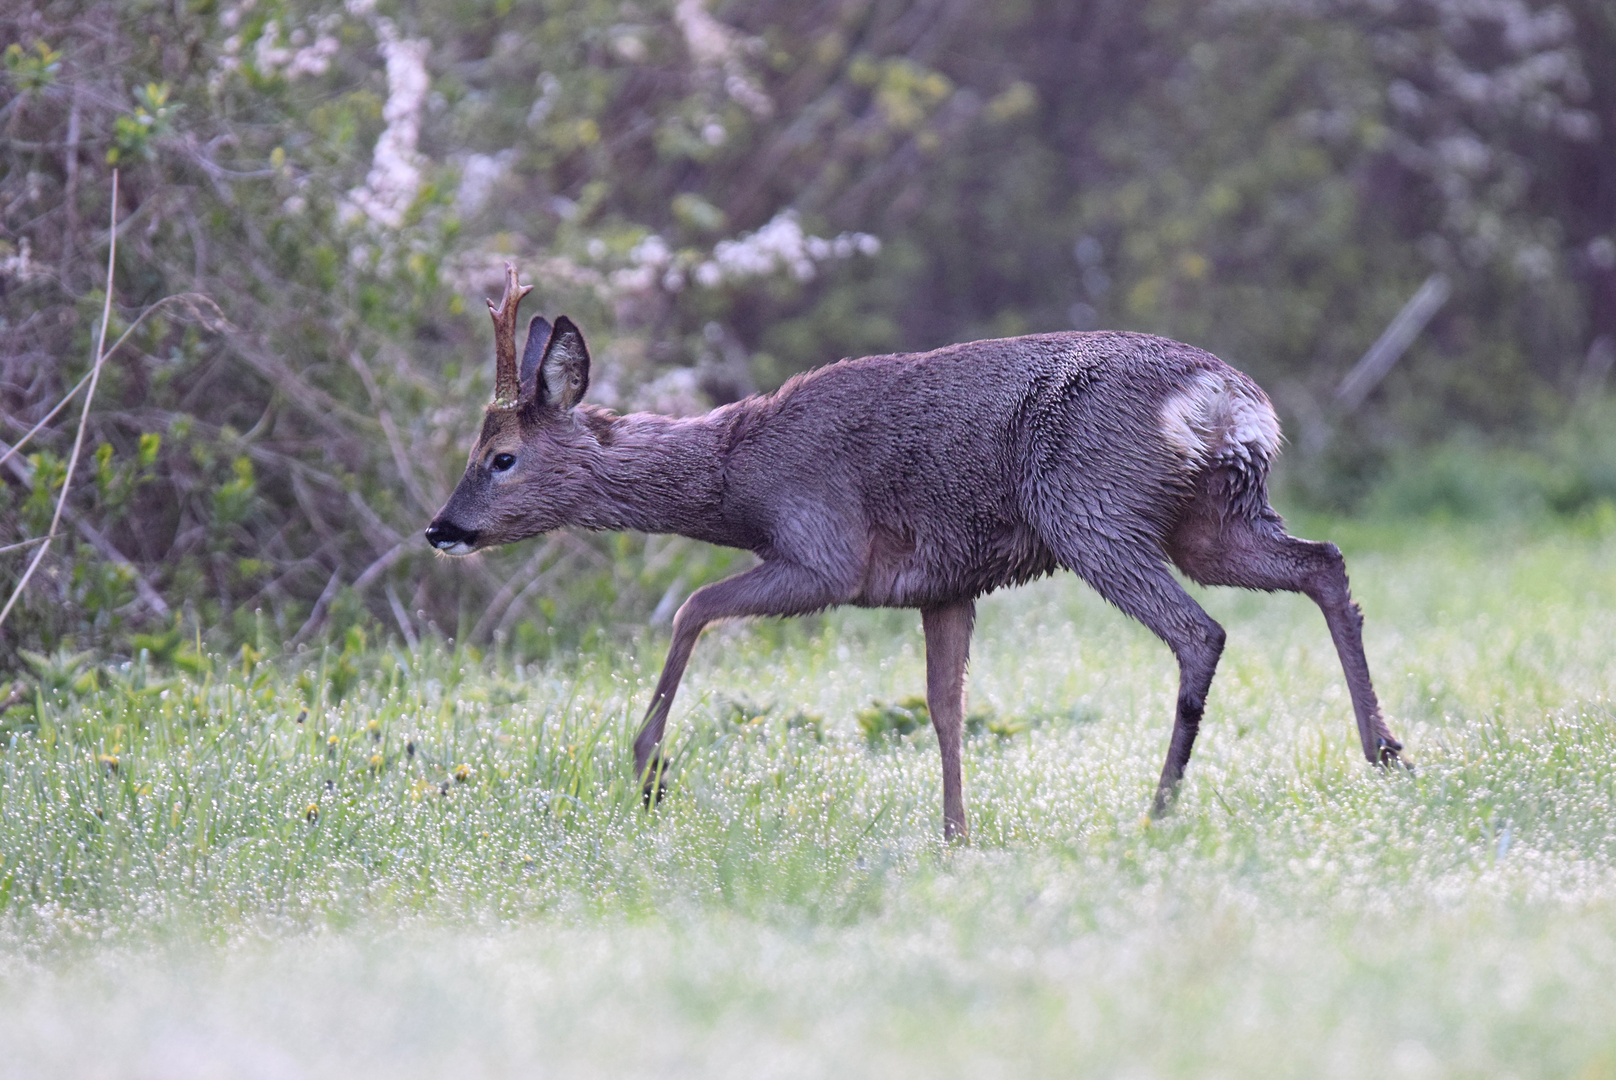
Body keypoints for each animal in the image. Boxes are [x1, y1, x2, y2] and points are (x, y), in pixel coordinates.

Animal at [426, 265, 1402, 840]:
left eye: (500, 455)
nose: (441, 527)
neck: (738, 478)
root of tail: (1226, 401)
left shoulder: (824, 554)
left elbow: (693, 607)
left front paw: (650, 771)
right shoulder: (943, 585)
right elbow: (945, 709)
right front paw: (956, 834)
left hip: (1089, 508)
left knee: (1200, 632)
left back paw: (1159, 807)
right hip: (1210, 519)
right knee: (1323, 562)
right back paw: (1385, 750)